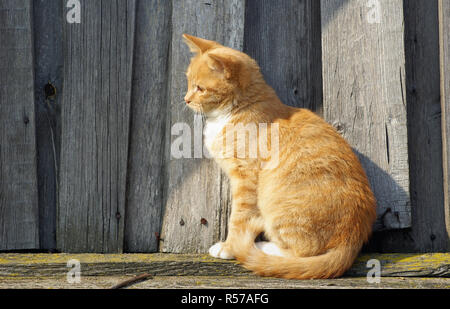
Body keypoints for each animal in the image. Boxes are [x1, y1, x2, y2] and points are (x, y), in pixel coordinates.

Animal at [183, 34, 376, 280]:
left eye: (200, 88)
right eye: (189, 83)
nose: (186, 99)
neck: (235, 110)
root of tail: (352, 240)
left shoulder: (246, 180)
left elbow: (238, 218)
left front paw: (229, 247)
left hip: (276, 206)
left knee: (300, 252)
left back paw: (261, 246)